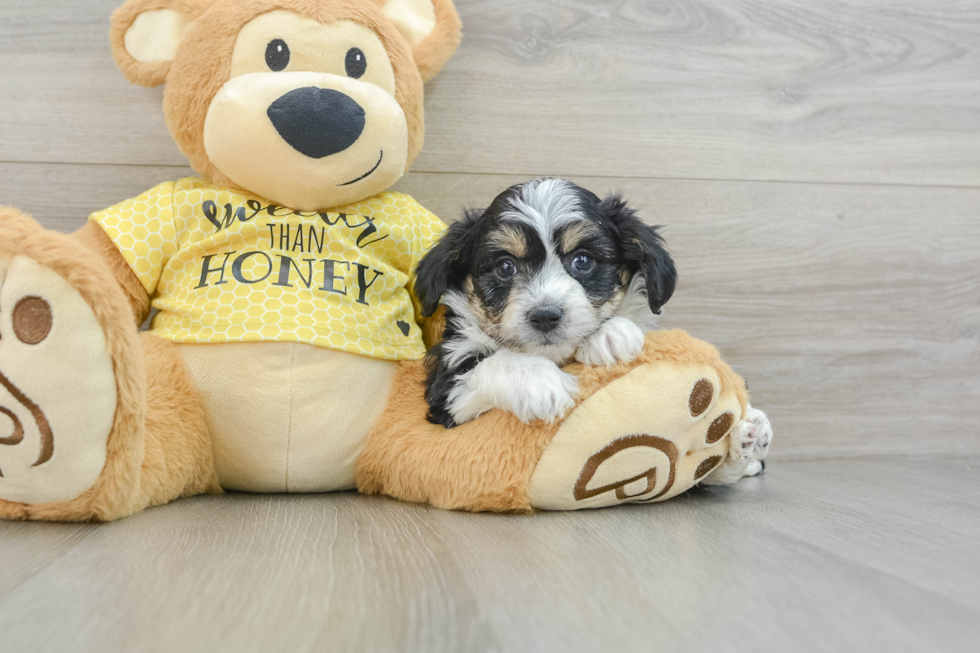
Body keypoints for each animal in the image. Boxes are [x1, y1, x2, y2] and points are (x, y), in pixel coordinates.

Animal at [412, 176, 672, 428]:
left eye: (583, 260)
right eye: (504, 267)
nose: (545, 316)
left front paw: (612, 336)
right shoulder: (448, 387)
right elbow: (491, 362)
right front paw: (541, 382)